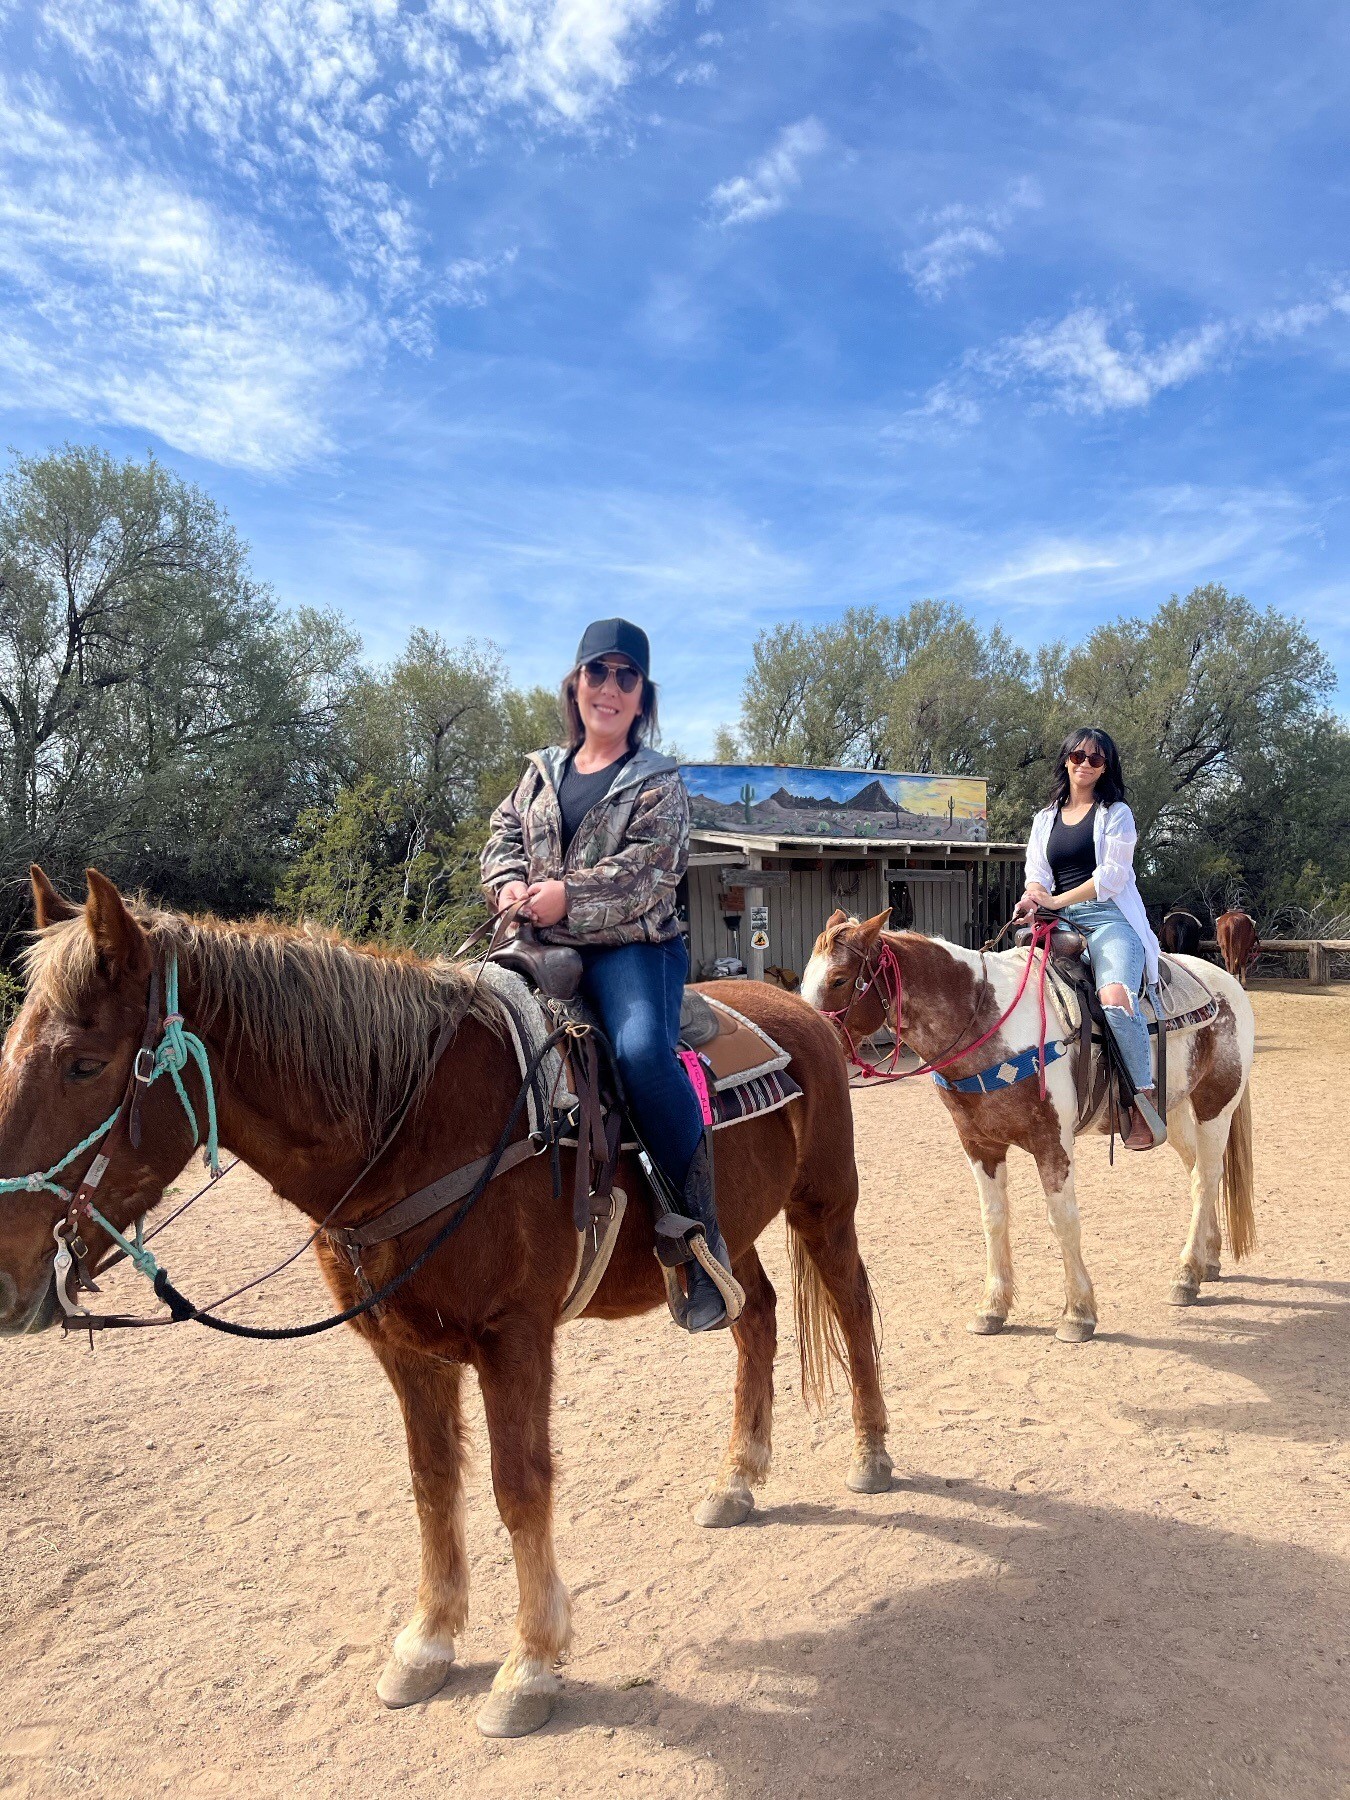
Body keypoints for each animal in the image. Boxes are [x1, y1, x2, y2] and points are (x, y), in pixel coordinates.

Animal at [802, 914, 1260, 1339]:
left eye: (840, 979)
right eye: (804, 981)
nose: (813, 1041)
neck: (988, 1024)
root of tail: (1225, 984)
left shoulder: (1052, 1144)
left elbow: (1063, 1220)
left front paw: (1078, 1314)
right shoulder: (979, 1145)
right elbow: (993, 1218)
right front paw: (992, 1307)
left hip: (1215, 1106)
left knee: (1204, 1178)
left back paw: (1186, 1276)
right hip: (1174, 1113)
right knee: (1200, 1171)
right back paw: (1208, 1260)